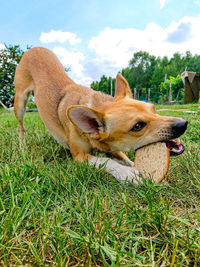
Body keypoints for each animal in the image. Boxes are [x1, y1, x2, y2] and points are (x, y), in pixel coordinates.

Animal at [13, 47, 188, 183]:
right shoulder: (79, 156)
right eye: (137, 126)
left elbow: (125, 159)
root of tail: (34, 48)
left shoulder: (113, 149)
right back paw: (22, 148)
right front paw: (128, 174)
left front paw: (132, 166)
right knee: (21, 128)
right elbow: (105, 161)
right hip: (20, 101)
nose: (183, 124)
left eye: (153, 109)